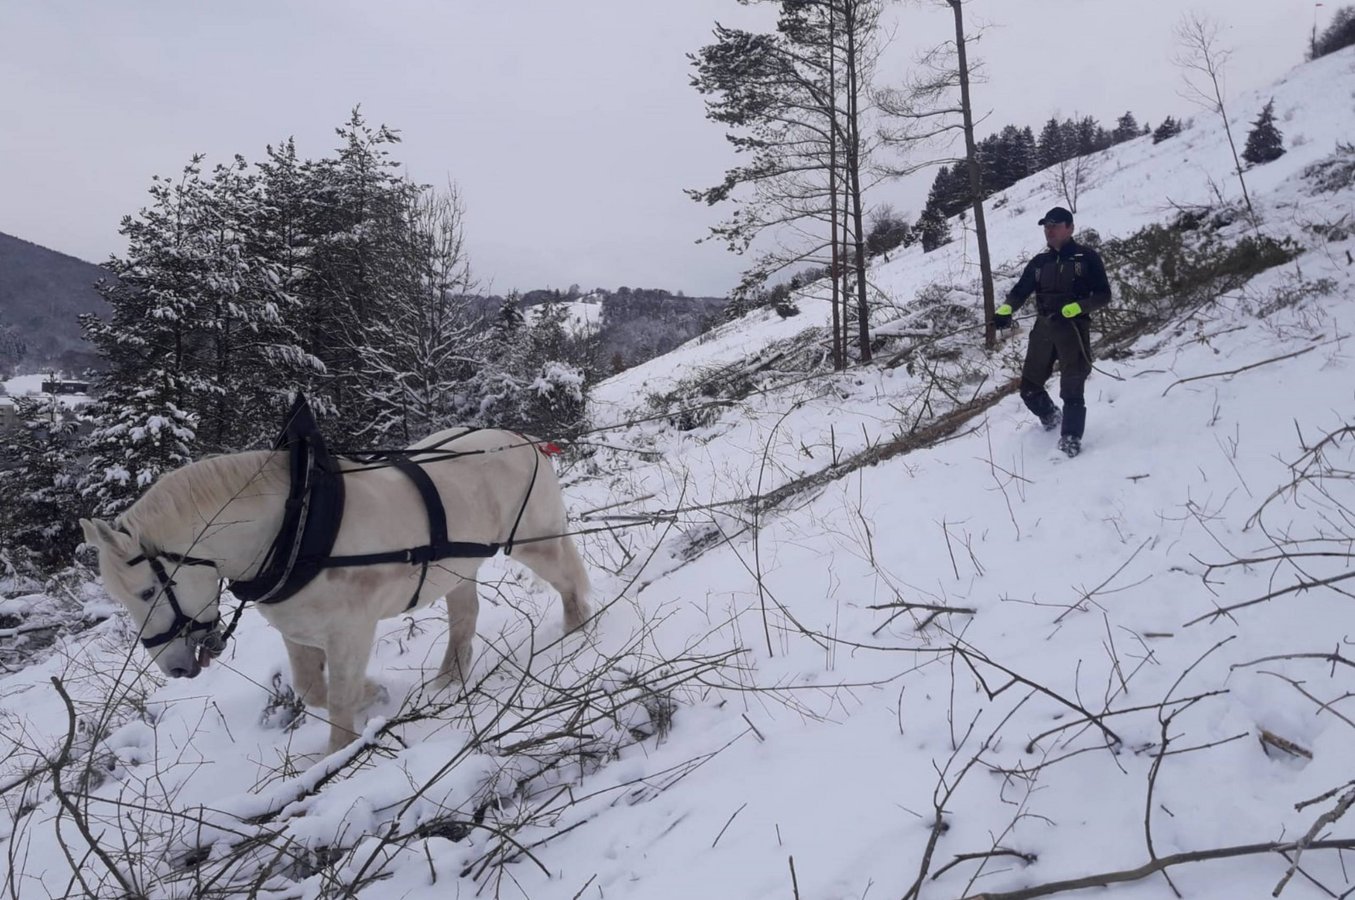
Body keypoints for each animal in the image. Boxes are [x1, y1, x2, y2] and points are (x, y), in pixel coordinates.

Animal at [79, 427, 592, 755]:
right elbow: (312, 690)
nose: (176, 668)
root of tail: (524, 441)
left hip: (534, 541)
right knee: (465, 617)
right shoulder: (300, 633)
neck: (295, 530)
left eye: (148, 592)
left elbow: (340, 700)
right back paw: (448, 682)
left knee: (568, 580)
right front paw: (376, 693)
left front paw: (338, 756)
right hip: (457, 569)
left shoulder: (351, 631)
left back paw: (577, 633)